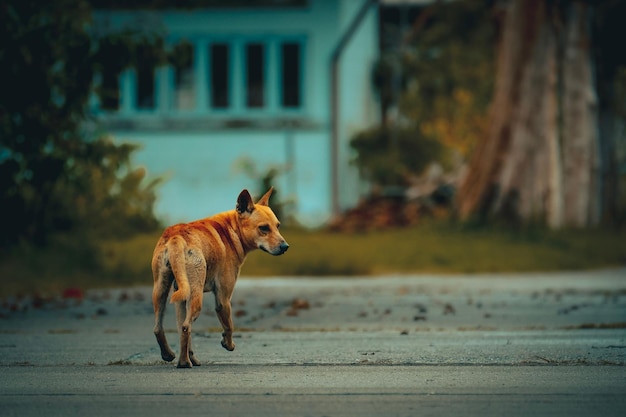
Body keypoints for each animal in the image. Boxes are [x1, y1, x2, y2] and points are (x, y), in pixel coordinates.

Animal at [151, 187, 288, 366]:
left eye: (278, 226)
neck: (232, 230)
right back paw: (184, 362)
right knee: (187, 327)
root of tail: (176, 236)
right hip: (195, 296)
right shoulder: (223, 299)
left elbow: (183, 332)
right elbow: (229, 325)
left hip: (162, 291)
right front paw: (228, 344)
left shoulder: (180, 300)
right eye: (264, 228)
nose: (285, 247)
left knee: (164, 329)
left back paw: (173, 356)